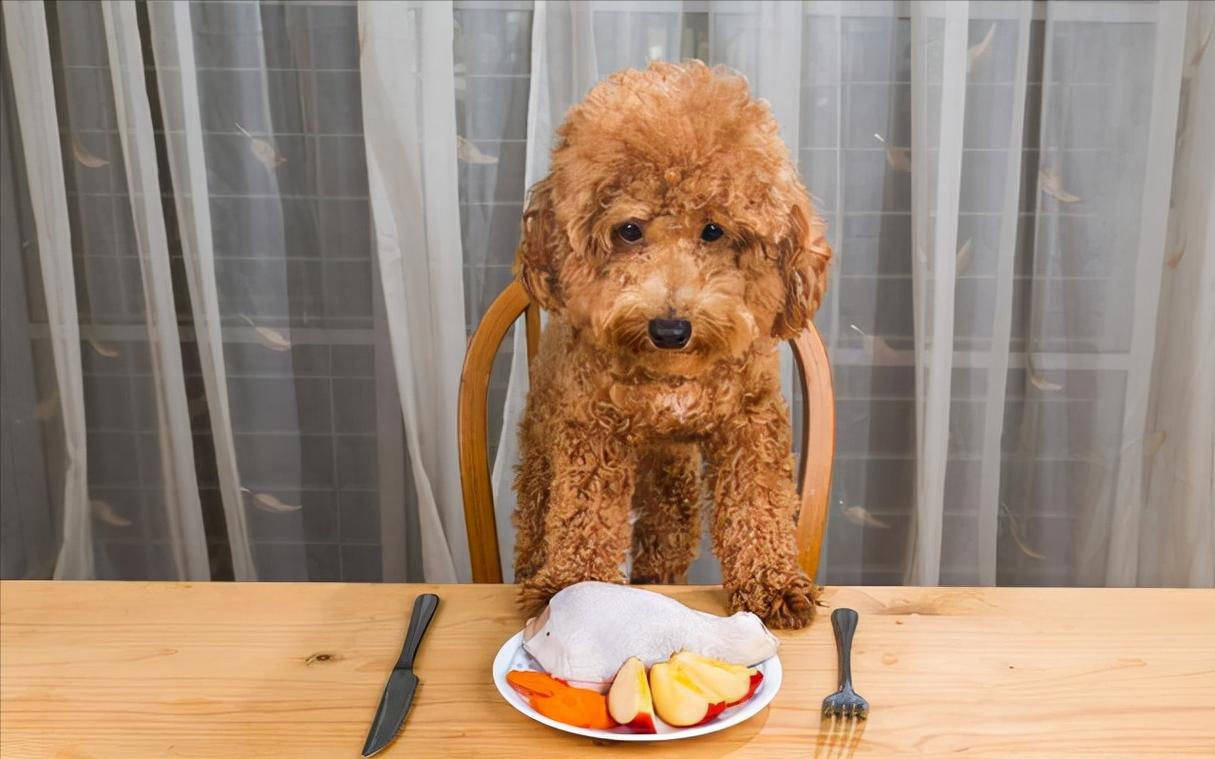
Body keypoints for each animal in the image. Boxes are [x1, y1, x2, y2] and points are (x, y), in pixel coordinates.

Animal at [507, 60, 831, 626]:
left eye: (714, 230)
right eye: (629, 230)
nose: (670, 329)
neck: (670, 374)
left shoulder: (750, 425)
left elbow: (758, 504)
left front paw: (772, 583)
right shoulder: (592, 432)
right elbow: (584, 512)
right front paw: (570, 587)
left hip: (671, 484)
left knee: (664, 542)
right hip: (544, 451)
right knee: (539, 517)